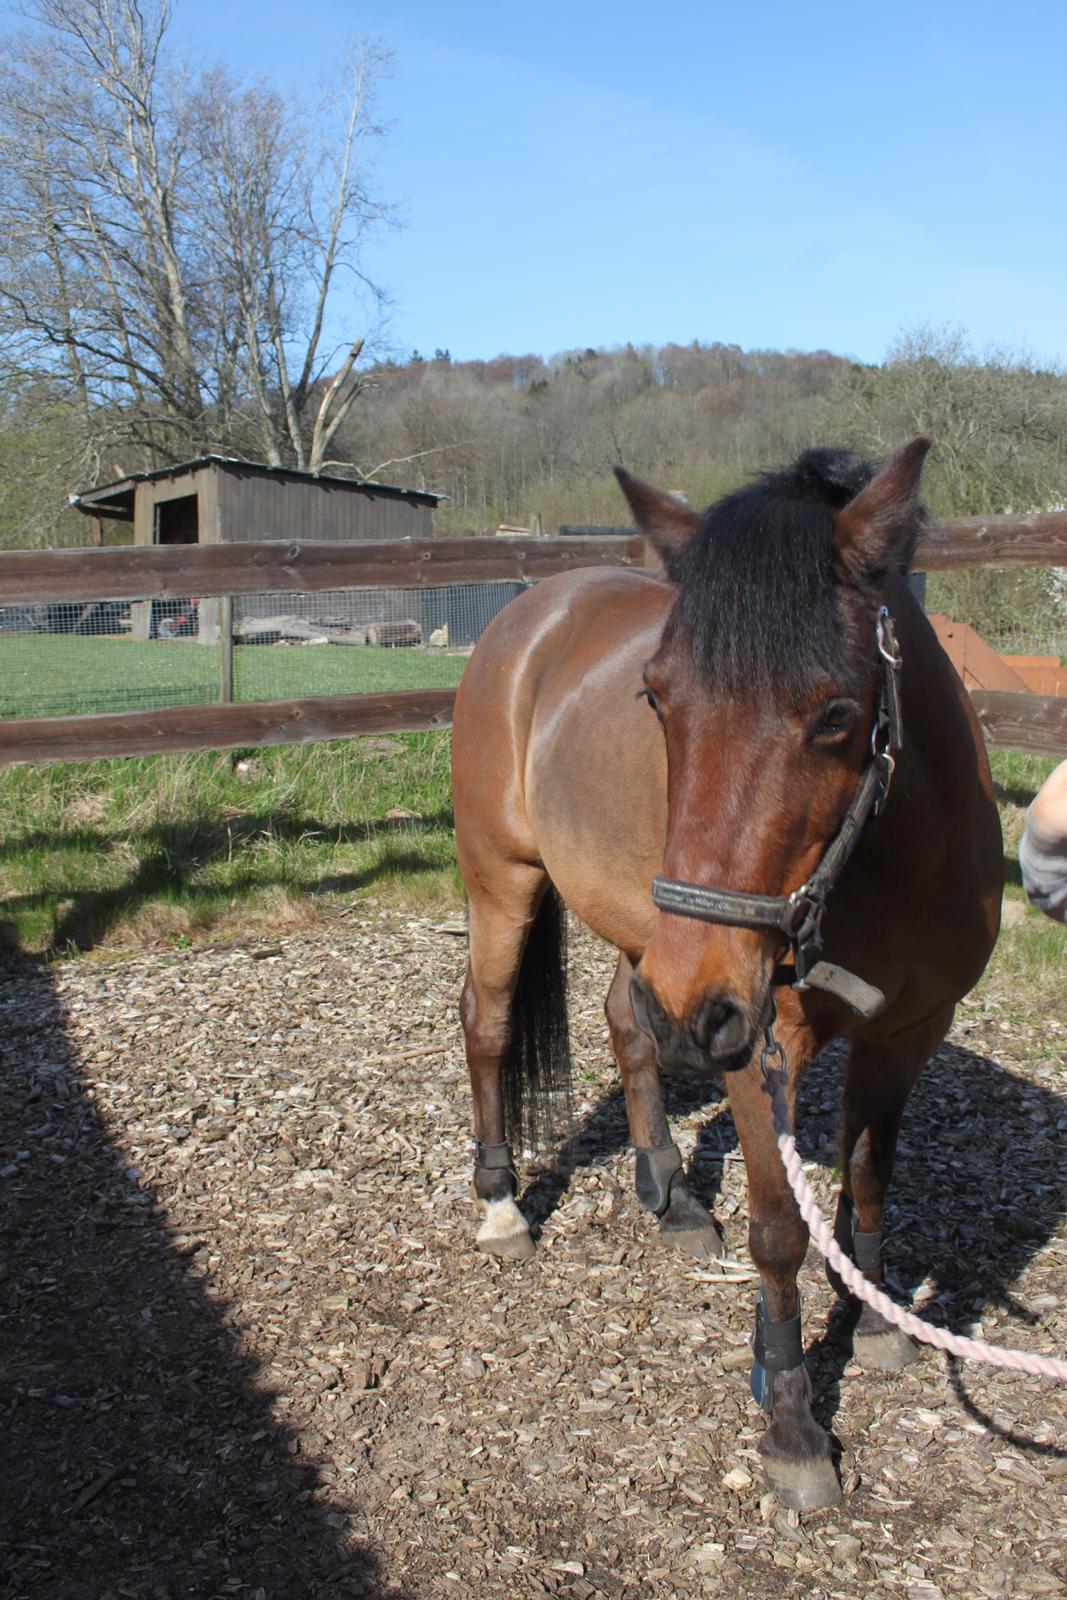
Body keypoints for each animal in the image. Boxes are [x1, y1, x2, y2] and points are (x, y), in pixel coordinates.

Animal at [451, 441, 1004, 1510]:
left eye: (836, 713)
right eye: (657, 700)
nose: (702, 1003)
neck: (885, 860)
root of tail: (529, 611)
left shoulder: (905, 1032)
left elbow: (867, 1182)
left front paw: (876, 1321)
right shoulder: (760, 1043)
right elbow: (780, 1229)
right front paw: (789, 1418)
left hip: (651, 944)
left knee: (628, 1021)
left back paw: (667, 1191)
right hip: (517, 888)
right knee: (488, 1022)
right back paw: (500, 1204)